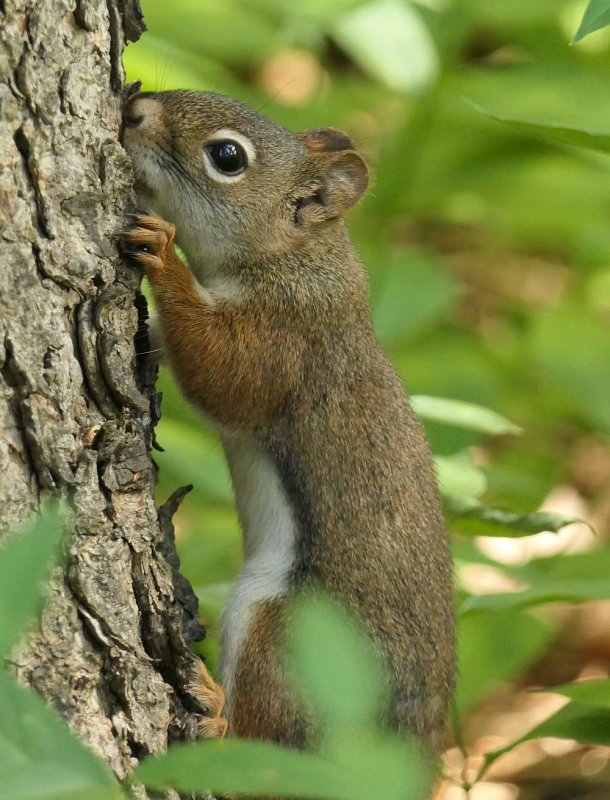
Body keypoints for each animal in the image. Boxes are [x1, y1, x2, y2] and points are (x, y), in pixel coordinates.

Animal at [117, 90, 452, 760]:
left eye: (227, 156)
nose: (135, 107)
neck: (300, 259)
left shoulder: (286, 342)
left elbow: (223, 377)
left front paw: (163, 256)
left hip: (295, 637)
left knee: (263, 735)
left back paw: (213, 707)